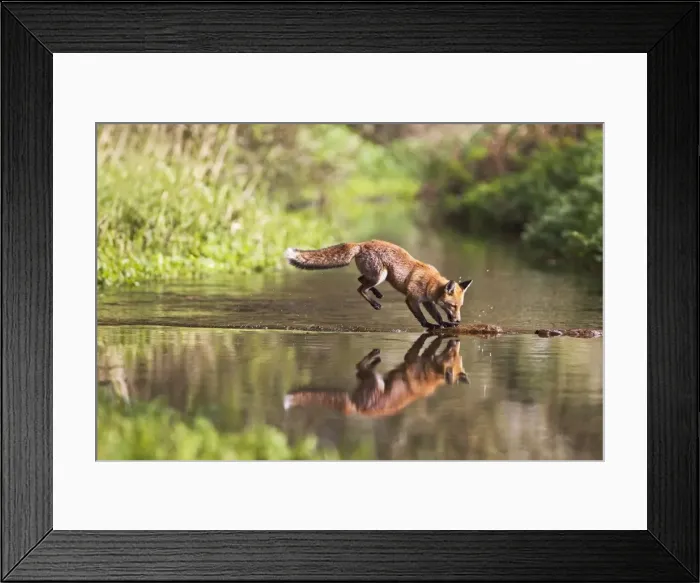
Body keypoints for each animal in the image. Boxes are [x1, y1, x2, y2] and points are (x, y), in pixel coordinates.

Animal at [284, 240, 473, 329]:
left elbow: (437, 315)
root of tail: (361, 243)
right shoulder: (411, 299)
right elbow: (421, 317)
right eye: (453, 306)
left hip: (376, 276)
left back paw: (377, 294)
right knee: (360, 288)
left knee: (360, 280)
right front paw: (430, 326)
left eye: (460, 307)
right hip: (381, 275)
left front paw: (444, 324)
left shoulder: (426, 301)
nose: (458, 320)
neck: (429, 283)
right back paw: (375, 303)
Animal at [284, 334, 469, 418]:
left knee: (359, 368)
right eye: (453, 354)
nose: (456, 341)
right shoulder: (412, 360)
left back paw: (375, 357)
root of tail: (356, 408)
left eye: (458, 355)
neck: (431, 376)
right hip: (377, 383)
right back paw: (375, 357)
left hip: (373, 381)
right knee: (359, 367)